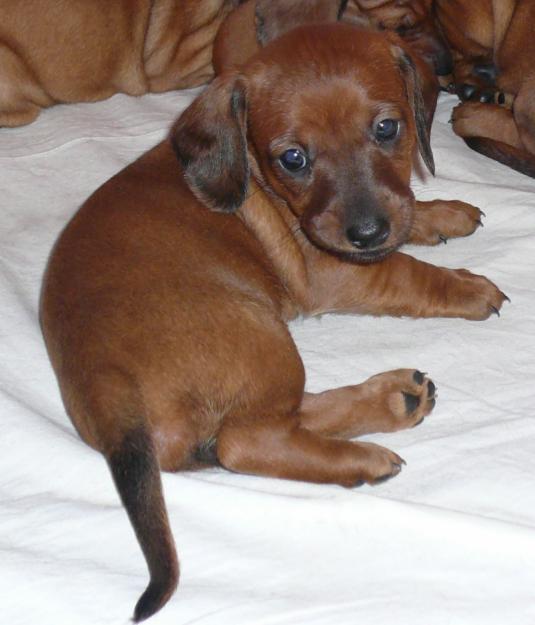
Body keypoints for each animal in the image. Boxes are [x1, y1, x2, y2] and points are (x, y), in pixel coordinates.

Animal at [40, 9, 506, 624]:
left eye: (387, 129)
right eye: (294, 158)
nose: (366, 232)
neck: (258, 179)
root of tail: (105, 389)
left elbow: (407, 215)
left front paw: (440, 212)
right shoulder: (338, 270)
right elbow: (408, 273)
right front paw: (467, 287)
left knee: (276, 420)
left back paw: (393, 399)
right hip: (264, 337)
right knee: (248, 441)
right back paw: (362, 456)